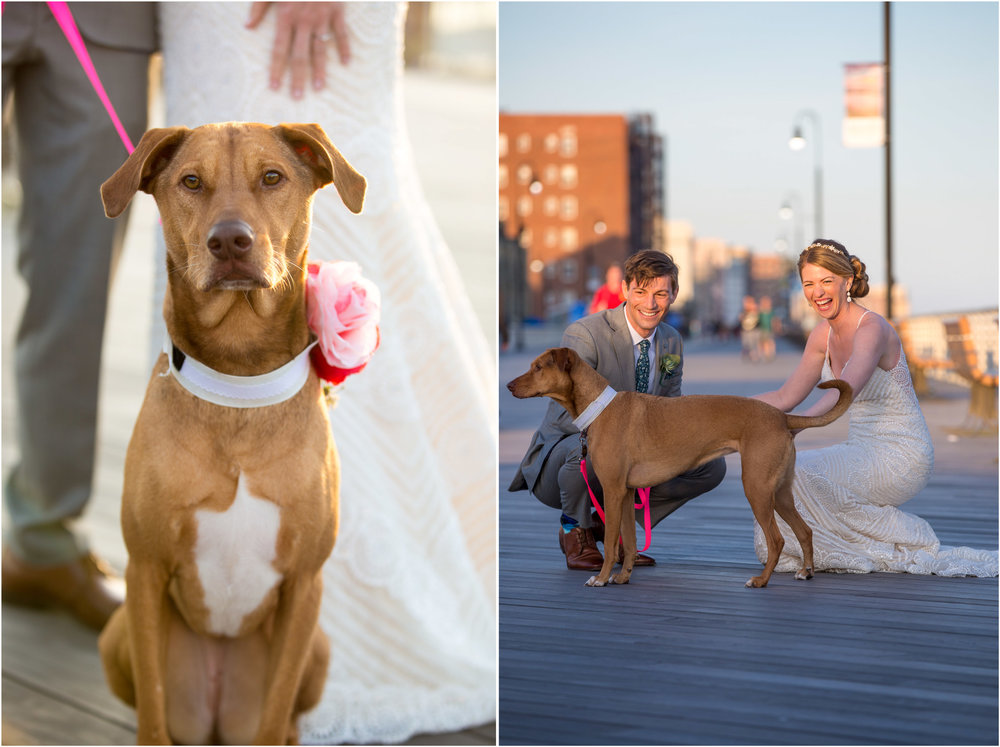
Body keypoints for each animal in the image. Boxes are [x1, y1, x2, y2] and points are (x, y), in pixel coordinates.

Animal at [94, 121, 366, 744]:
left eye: (273, 177)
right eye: (192, 181)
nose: (230, 242)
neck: (239, 383)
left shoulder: (304, 584)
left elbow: (276, 709)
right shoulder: (144, 570)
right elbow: (151, 709)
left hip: (319, 647)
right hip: (118, 633)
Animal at [508, 350, 852, 592]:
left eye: (538, 367)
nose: (509, 384)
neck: (599, 407)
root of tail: (782, 417)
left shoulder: (612, 490)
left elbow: (612, 543)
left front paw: (602, 578)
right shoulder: (627, 492)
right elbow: (629, 541)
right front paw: (623, 577)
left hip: (756, 488)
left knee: (777, 540)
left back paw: (761, 581)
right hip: (778, 492)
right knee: (804, 531)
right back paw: (805, 572)